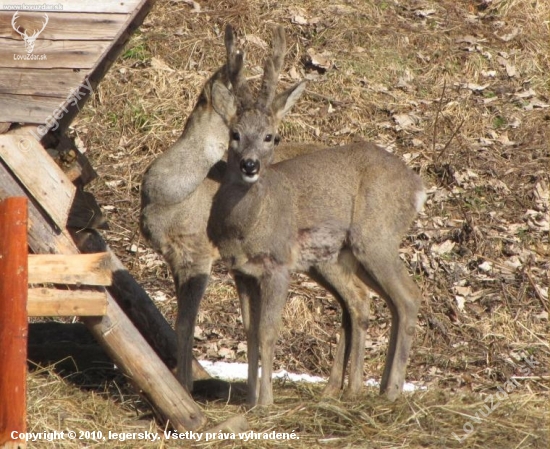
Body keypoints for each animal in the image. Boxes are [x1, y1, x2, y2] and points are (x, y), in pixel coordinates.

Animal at [142, 26, 374, 400]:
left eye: (271, 136)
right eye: (234, 132)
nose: (248, 165)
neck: (169, 197)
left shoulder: (198, 253)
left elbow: (186, 321)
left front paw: (185, 386)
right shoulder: (178, 258)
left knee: (358, 298)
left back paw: (348, 390)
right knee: (347, 303)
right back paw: (331, 389)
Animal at [209, 49, 430, 406]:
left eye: (271, 137)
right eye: (235, 134)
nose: (249, 165)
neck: (247, 226)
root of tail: (418, 187)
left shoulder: (278, 266)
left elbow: (268, 332)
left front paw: (266, 403)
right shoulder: (240, 272)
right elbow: (250, 332)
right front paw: (250, 399)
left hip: (375, 238)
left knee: (407, 296)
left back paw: (390, 392)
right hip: (344, 255)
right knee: (377, 300)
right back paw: (370, 388)